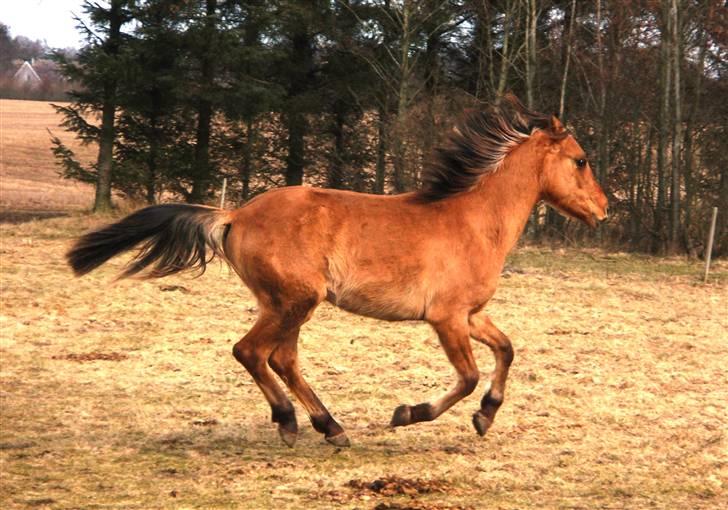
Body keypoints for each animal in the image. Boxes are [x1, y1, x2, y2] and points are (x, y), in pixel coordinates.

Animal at [68, 95, 608, 446]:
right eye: (581, 160)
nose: (604, 209)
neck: (473, 221)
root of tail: (234, 214)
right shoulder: (447, 318)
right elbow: (470, 376)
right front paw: (408, 414)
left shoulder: (472, 315)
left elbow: (507, 350)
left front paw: (486, 418)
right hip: (294, 301)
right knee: (252, 352)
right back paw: (293, 422)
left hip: (284, 304)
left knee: (281, 358)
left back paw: (328, 426)